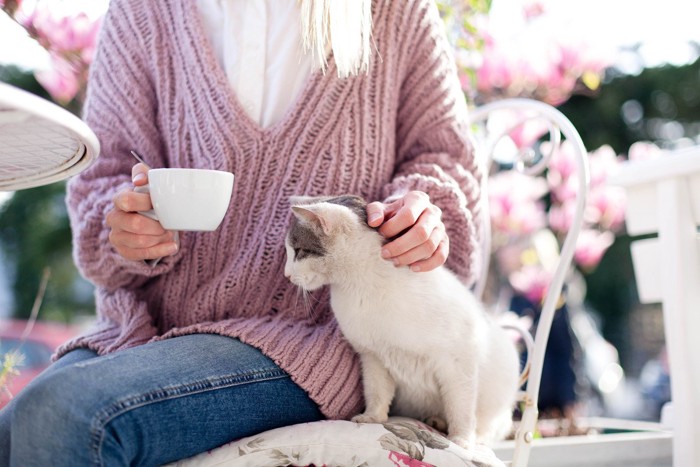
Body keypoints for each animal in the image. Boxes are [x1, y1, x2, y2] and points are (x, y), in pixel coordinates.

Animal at [284, 195, 520, 450]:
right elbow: (377, 391)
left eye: (298, 251)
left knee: (493, 426)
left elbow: (461, 407)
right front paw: (373, 417)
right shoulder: (372, 357)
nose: (286, 275)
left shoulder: (458, 361)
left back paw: (474, 435)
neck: (362, 285)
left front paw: (462, 441)